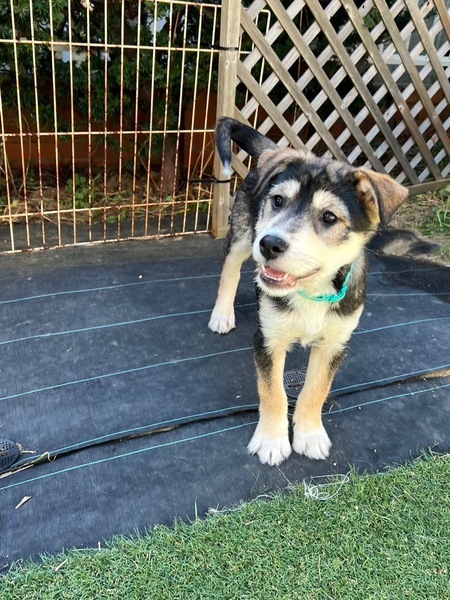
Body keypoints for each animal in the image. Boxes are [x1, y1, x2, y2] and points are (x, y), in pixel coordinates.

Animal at [208, 117, 409, 466]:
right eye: (277, 201)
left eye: (329, 217)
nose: (269, 244)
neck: (312, 289)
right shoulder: (268, 339)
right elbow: (273, 391)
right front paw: (272, 441)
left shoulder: (335, 344)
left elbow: (316, 390)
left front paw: (310, 435)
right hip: (242, 234)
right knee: (229, 272)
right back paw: (222, 314)